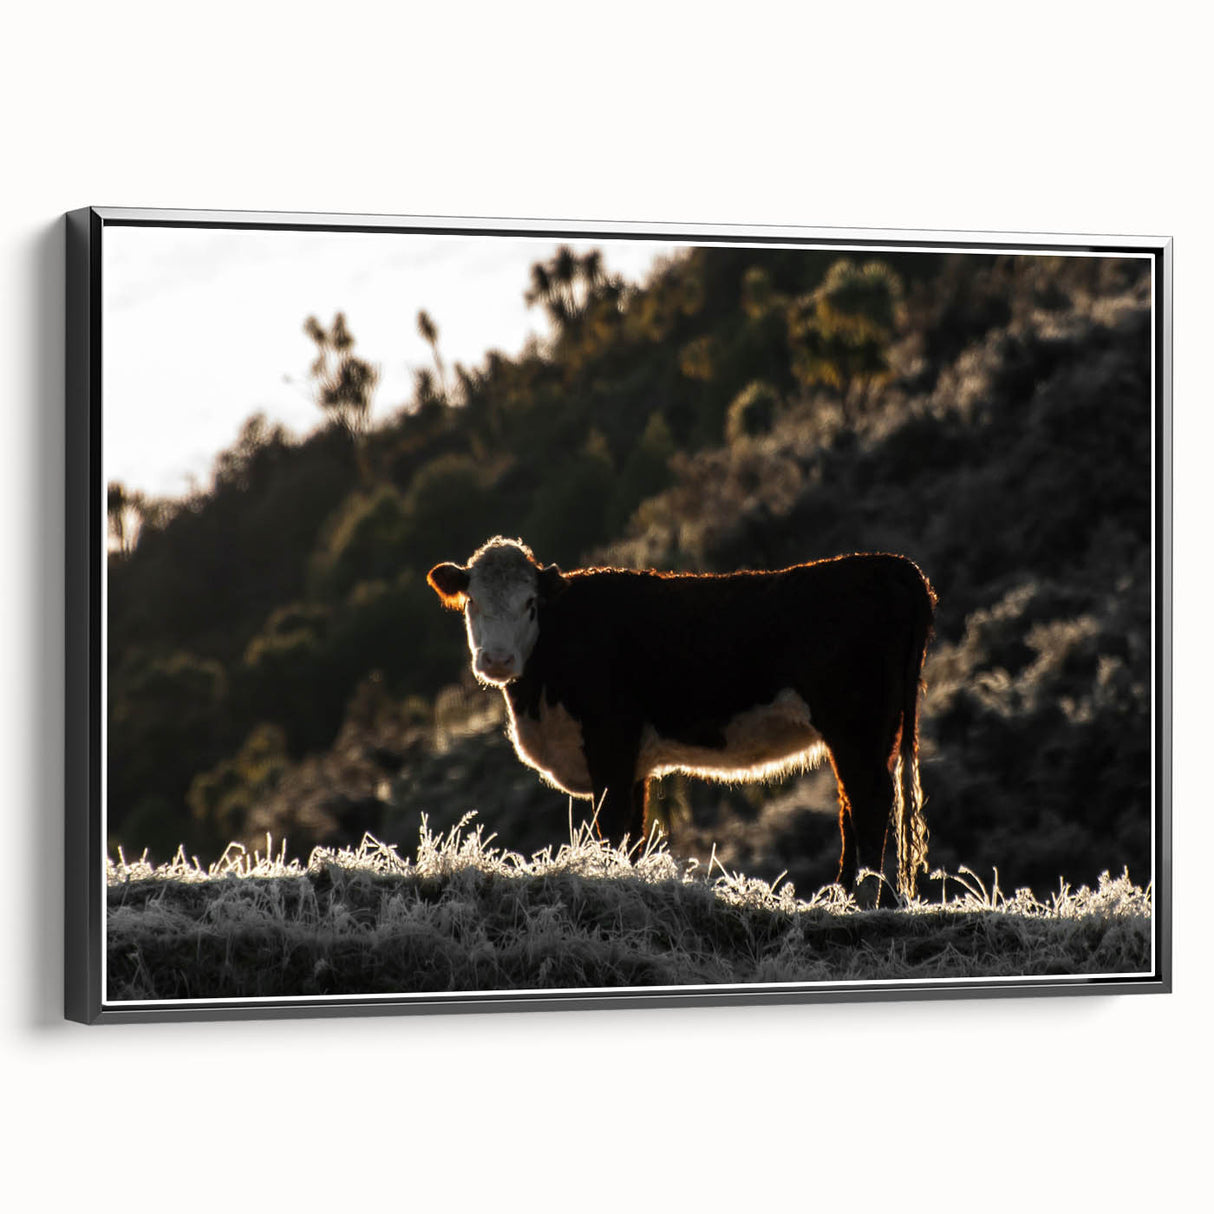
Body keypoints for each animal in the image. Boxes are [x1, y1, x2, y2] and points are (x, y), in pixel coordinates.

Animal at [427, 536, 935, 903]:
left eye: (530, 604)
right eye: (472, 602)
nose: (497, 660)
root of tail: (891, 565)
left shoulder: (610, 743)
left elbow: (611, 826)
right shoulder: (633, 761)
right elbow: (632, 833)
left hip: (855, 726)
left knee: (868, 801)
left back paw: (856, 899)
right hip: (873, 732)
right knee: (856, 804)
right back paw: (844, 895)